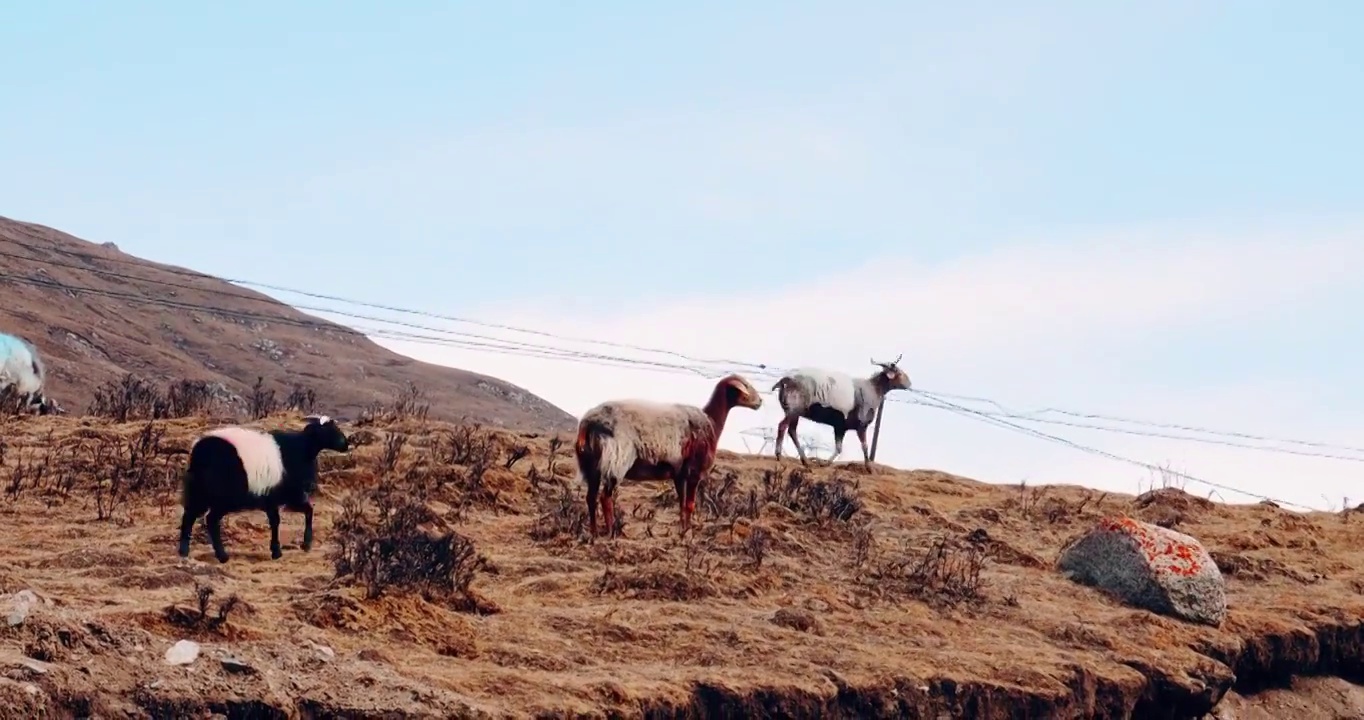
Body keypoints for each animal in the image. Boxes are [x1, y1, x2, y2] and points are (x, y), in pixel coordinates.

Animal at [178, 417, 349, 561]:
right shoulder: (292, 494)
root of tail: (199, 454)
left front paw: (276, 551)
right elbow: (308, 511)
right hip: (222, 497)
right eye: (331, 430)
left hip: (198, 493)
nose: (346, 445)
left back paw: (184, 552)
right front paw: (304, 545)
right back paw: (222, 556)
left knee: (188, 517)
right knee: (211, 520)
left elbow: (275, 521)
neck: (303, 449)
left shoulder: (271, 498)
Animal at [572, 373, 769, 537]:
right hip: (616, 460)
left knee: (590, 498)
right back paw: (611, 531)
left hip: (591, 465)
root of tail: (588, 422)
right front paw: (688, 532)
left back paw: (594, 533)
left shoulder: (679, 474)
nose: (760, 402)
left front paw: (682, 530)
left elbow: (681, 504)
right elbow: (690, 504)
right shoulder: (694, 471)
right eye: (745, 386)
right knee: (605, 498)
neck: (711, 421)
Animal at [774, 354, 911, 466]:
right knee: (784, 427)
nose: (909, 384)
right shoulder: (861, 425)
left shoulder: (840, 427)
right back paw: (780, 456)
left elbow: (839, 448)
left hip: (793, 411)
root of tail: (785, 380)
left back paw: (804, 461)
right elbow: (865, 446)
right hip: (794, 410)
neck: (873, 389)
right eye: (898, 372)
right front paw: (868, 468)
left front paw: (825, 463)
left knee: (791, 430)